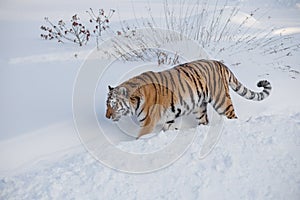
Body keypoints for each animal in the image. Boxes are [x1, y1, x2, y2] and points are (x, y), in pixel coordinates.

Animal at [105, 59, 272, 139]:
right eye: (107, 105)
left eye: (113, 104)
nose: (106, 116)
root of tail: (219, 63)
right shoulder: (169, 118)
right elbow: (168, 128)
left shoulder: (148, 123)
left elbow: (140, 137)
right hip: (199, 107)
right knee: (204, 121)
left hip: (221, 101)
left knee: (232, 116)